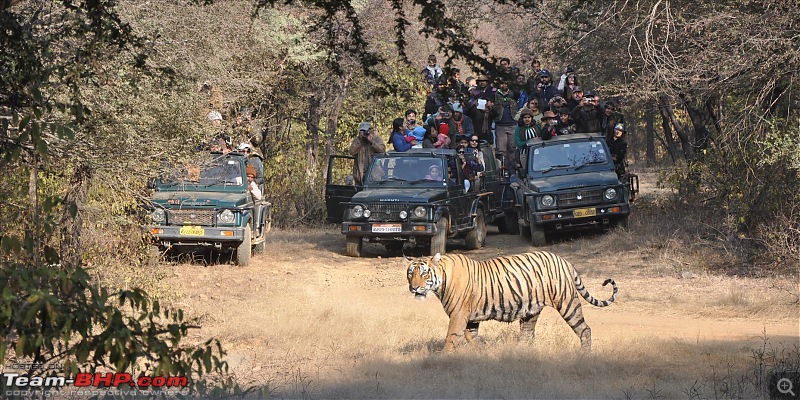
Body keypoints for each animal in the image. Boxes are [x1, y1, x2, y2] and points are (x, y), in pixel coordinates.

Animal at [406, 252, 620, 352]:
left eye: (424, 274)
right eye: (410, 274)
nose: (414, 288)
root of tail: (564, 260)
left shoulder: (458, 315)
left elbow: (451, 337)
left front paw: (443, 357)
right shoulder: (470, 318)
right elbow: (471, 337)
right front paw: (484, 352)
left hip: (567, 303)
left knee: (585, 329)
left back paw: (584, 355)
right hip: (531, 312)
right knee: (527, 336)